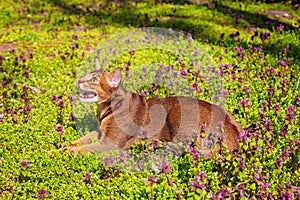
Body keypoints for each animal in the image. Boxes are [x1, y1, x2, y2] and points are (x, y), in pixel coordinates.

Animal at [66, 57, 244, 158]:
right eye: (87, 76)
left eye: (93, 80)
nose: (78, 81)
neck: (108, 108)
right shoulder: (99, 132)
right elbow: (83, 139)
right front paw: (67, 143)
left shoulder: (109, 143)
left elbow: (84, 148)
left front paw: (60, 151)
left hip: (176, 113)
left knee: (185, 147)